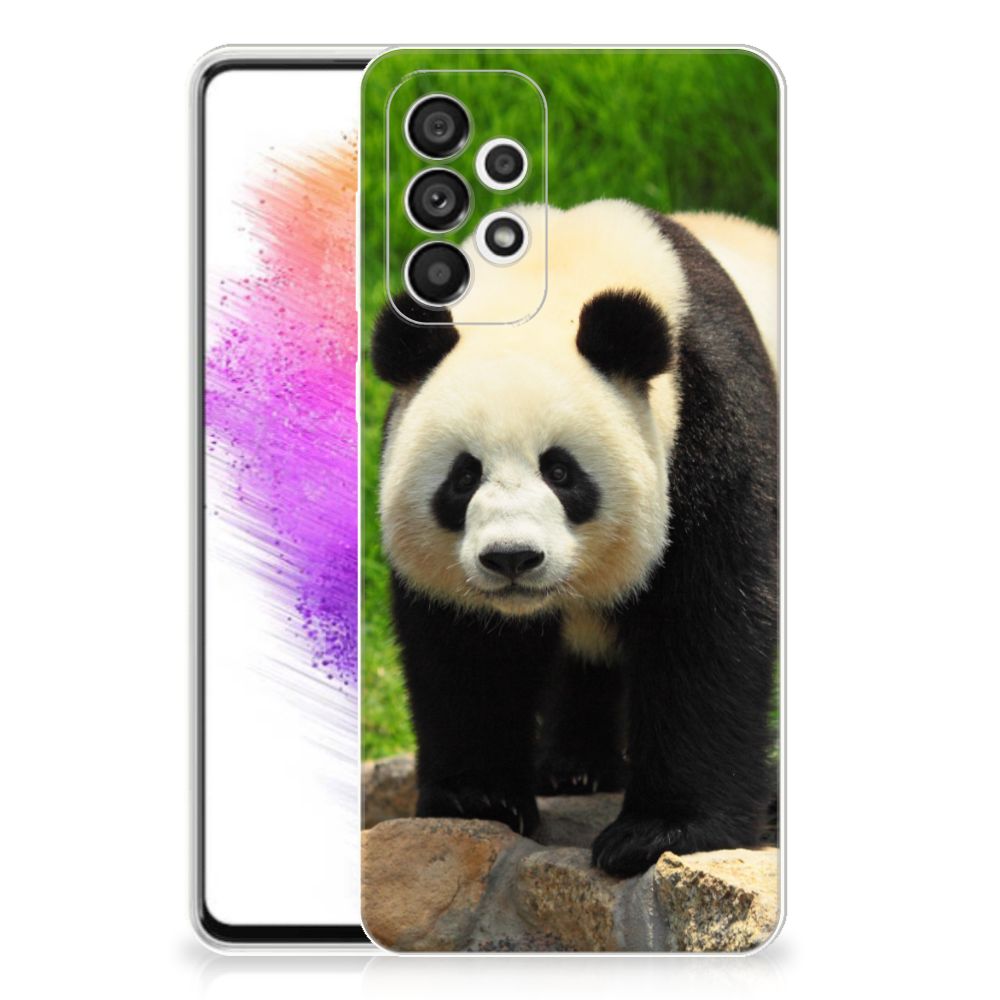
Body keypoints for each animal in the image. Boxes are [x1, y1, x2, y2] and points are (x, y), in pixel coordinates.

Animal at [371, 200, 778, 877]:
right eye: (463, 476)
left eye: (560, 472)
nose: (512, 558)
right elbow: (466, 648)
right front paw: (478, 798)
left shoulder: (711, 419)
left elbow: (708, 622)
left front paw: (660, 832)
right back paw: (574, 768)